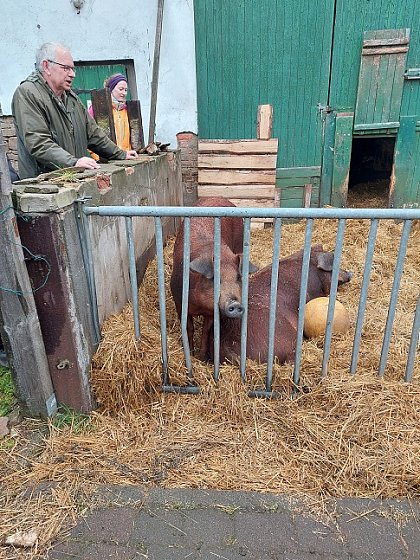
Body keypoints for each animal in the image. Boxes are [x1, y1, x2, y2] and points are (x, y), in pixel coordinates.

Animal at [170, 197, 256, 360]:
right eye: (215, 278)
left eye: (238, 277)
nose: (236, 303)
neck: (199, 305)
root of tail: (220, 197)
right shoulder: (179, 302)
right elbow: (188, 328)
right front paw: (190, 353)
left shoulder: (211, 312)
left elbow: (205, 331)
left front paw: (202, 358)